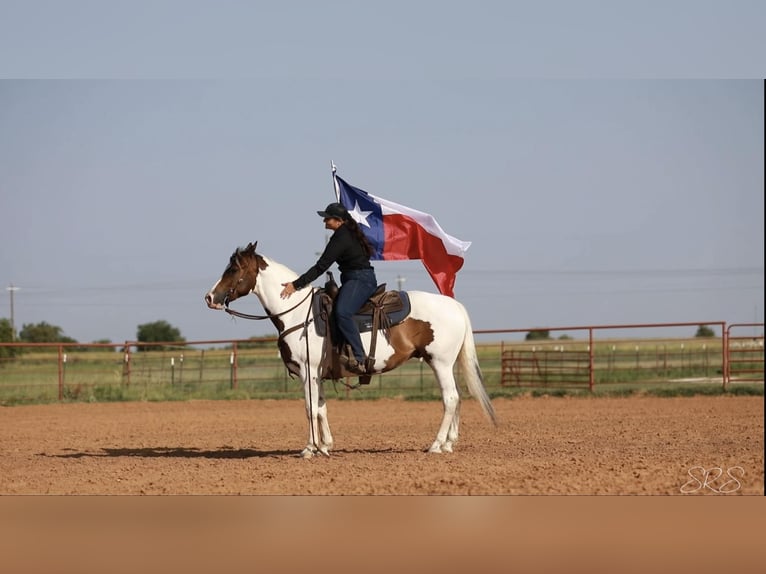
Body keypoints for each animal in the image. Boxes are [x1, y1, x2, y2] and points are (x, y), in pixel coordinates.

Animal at [204, 241, 496, 458]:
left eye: (233, 270)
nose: (209, 297)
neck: (297, 312)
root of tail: (454, 305)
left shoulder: (307, 371)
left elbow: (310, 408)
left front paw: (309, 449)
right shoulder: (317, 374)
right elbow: (321, 408)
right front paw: (325, 446)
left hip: (440, 362)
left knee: (450, 399)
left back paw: (436, 445)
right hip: (445, 364)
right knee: (458, 397)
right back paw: (448, 444)